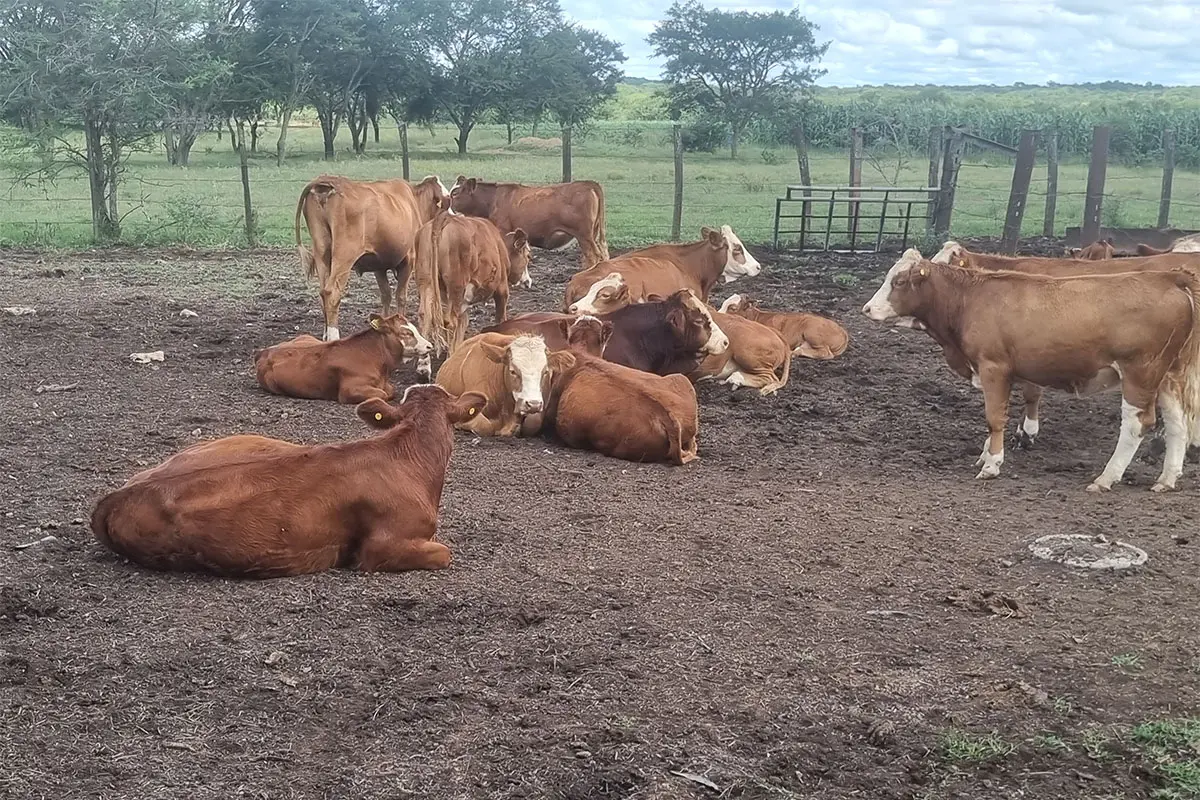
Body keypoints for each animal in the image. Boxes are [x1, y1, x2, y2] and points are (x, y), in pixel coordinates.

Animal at [255, 312, 433, 403]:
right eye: (406, 333)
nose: (429, 346)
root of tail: (264, 351)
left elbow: (390, 390)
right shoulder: (350, 391)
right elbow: (383, 394)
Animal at [294, 175, 447, 341]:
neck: (413, 201)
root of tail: (327, 181)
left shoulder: (378, 266)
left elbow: (386, 295)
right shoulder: (408, 261)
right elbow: (401, 296)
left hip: (322, 252)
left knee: (322, 293)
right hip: (344, 255)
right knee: (331, 293)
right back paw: (334, 336)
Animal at [414, 211, 532, 355]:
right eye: (528, 256)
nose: (528, 281)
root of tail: (444, 218)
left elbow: (462, 323)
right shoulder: (502, 289)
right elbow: (500, 318)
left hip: (427, 282)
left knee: (425, 315)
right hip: (456, 286)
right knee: (450, 322)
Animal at [447, 176, 609, 269]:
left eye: (455, 193)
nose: (447, 205)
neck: (493, 200)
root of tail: (588, 184)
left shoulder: (503, 231)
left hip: (584, 236)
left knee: (593, 256)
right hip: (592, 235)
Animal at [862, 255, 1200, 492]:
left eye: (900, 281)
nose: (867, 309)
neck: (970, 299)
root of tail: (1170, 278)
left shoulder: (993, 368)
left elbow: (994, 418)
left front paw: (992, 464)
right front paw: (987, 454)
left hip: (1140, 373)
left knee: (1136, 424)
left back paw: (1106, 477)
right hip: (1168, 375)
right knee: (1177, 423)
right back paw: (1166, 479)